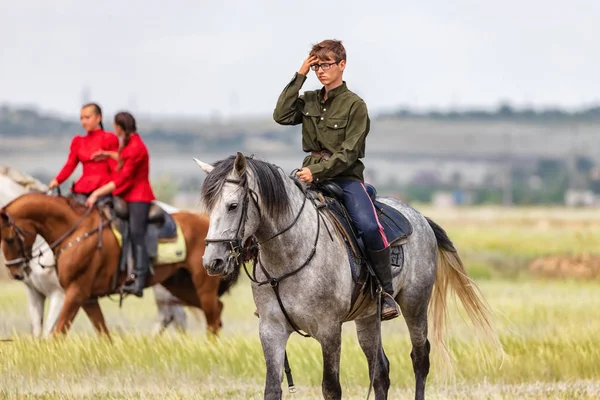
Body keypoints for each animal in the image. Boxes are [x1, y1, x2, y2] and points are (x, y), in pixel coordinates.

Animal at [0, 166, 188, 338]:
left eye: (9, 239)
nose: (14, 272)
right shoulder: (34, 292)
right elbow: (37, 333)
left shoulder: (61, 294)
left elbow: (49, 332)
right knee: (174, 315)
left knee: (172, 315)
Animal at [0, 192, 237, 336]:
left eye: (9, 238)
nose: (16, 271)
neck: (75, 232)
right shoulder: (87, 298)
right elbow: (103, 333)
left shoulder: (73, 293)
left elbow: (56, 333)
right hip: (180, 286)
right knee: (215, 310)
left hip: (203, 285)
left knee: (211, 318)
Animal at [193, 154, 496, 400]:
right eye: (209, 207)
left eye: (232, 205)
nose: (213, 261)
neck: (290, 253)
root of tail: (420, 217)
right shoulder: (271, 329)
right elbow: (272, 388)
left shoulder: (329, 330)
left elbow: (331, 388)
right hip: (368, 319)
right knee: (380, 371)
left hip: (415, 305)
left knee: (420, 358)